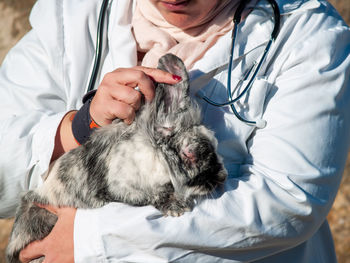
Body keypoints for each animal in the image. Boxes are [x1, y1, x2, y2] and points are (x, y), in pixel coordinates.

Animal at [6, 54, 227, 263]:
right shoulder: (121, 188)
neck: (156, 156)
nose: (222, 178)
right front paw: (177, 208)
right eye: (190, 154)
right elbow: (151, 196)